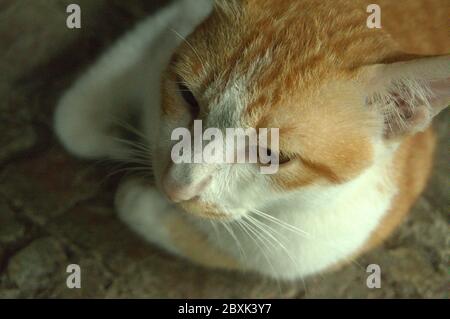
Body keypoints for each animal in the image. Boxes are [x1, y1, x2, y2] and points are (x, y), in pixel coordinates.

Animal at [53, 0, 450, 280]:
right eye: (187, 96)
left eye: (274, 155)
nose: (176, 187)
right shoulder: (177, 16)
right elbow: (69, 122)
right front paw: (125, 139)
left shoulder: (319, 244)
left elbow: (139, 207)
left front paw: (139, 187)